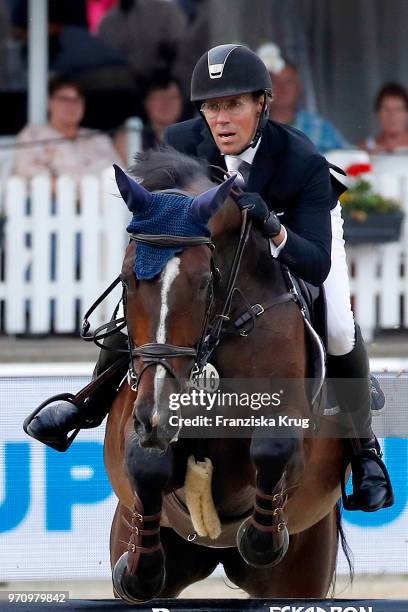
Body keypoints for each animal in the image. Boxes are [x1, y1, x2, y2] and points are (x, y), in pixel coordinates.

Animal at [103, 149, 350, 604]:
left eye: (204, 283)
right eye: (128, 280)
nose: (159, 417)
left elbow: (273, 448)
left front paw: (259, 539)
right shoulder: (138, 412)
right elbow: (145, 462)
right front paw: (139, 572)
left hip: (301, 573)